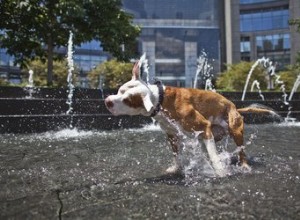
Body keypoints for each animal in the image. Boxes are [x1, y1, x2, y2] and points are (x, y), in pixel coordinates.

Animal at [105, 58, 274, 177]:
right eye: (119, 90)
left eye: (128, 100)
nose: (107, 101)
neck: (161, 100)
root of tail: (234, 106)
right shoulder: (172, 134)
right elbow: (177, 155)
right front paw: (176, 168)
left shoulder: (203, 126)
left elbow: (214, 156)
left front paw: (220, 171)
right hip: (208, 135)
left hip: (234, 130)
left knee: (240, 151)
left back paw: (244, 165)